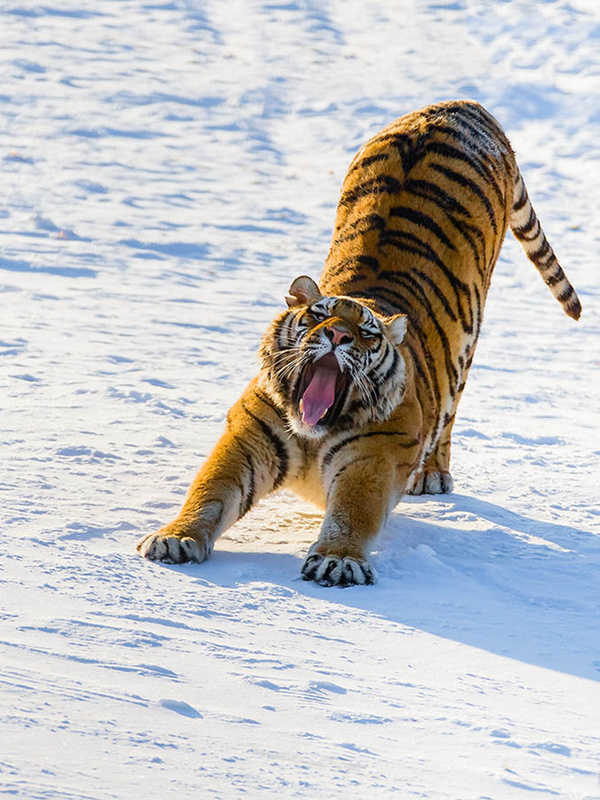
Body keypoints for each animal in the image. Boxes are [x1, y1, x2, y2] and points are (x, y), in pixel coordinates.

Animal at [137, 100, 580, 588]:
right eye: (319, 315)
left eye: (367, 333)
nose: (338, 335)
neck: (313, 432)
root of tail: (459, 104)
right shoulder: (248, 438)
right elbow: (210, 491)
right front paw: (177, 537)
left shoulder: (374, 456)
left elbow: (354, 511)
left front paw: (338, 559)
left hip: (469, 338)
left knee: (450, 409)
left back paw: (432, 474)